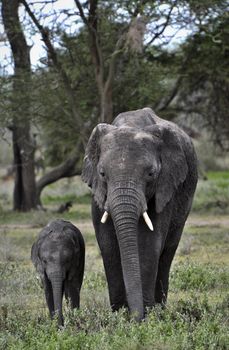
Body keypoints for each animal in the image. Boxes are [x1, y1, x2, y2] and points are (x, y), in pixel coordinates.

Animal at [82, 108, 199, 322]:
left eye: (151, 174)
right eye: (102, 173)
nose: (135, 317)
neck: (130, 125)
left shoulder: (165, 187)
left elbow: (148, 244)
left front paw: (145, 316)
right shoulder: (98, 195)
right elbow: (107, 243)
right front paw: (119, 315)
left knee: (168, 251)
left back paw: (159, 310)